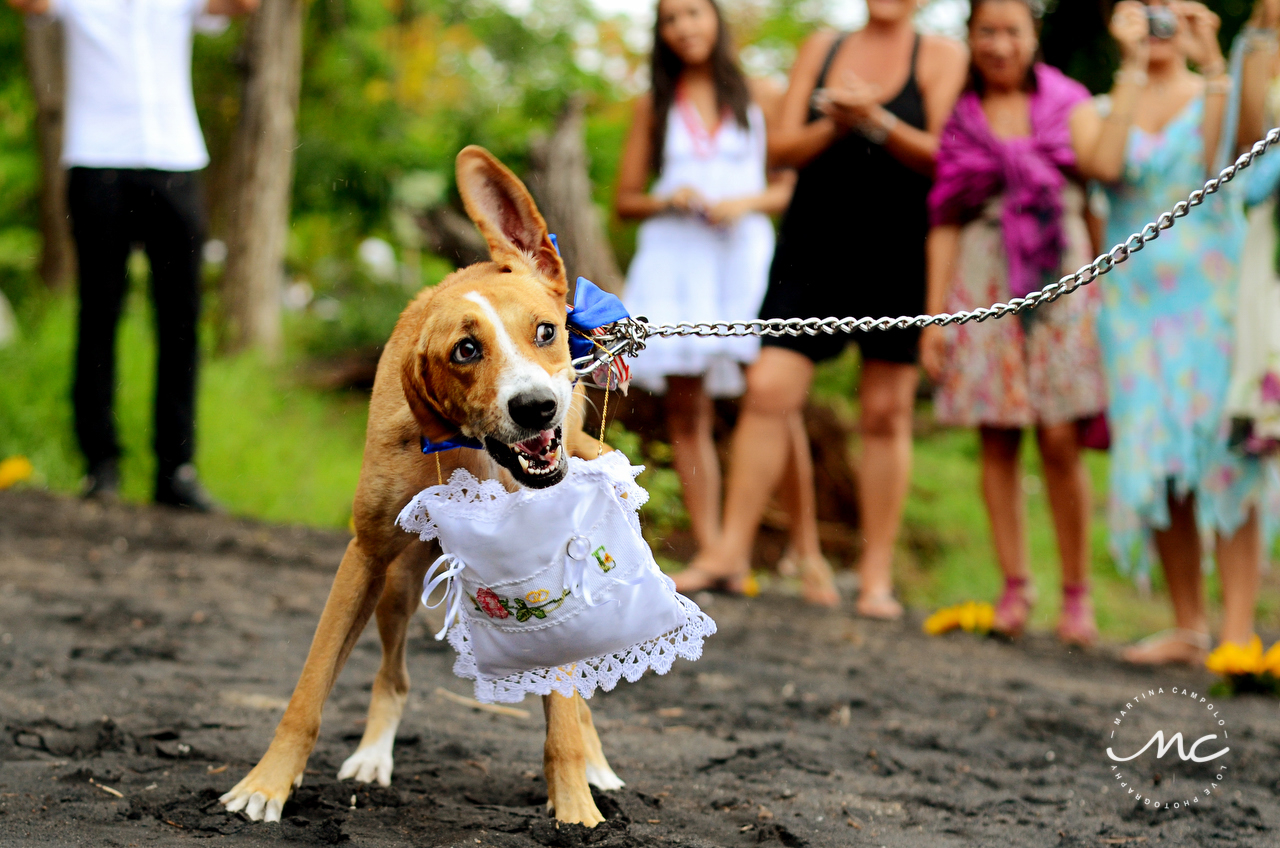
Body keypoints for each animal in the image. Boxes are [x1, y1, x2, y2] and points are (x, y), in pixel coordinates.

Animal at [222, 146, 627, 830]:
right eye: (465, 350)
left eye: (545, 332)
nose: (537, 408)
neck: (475, 453)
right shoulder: (364, 558)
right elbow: (309, 689)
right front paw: (266, 784)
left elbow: (565, 715)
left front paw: (575, 807)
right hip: (398, 586)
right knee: (393, 676)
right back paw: (372, 755)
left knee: (575, 700)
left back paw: (596, 766)